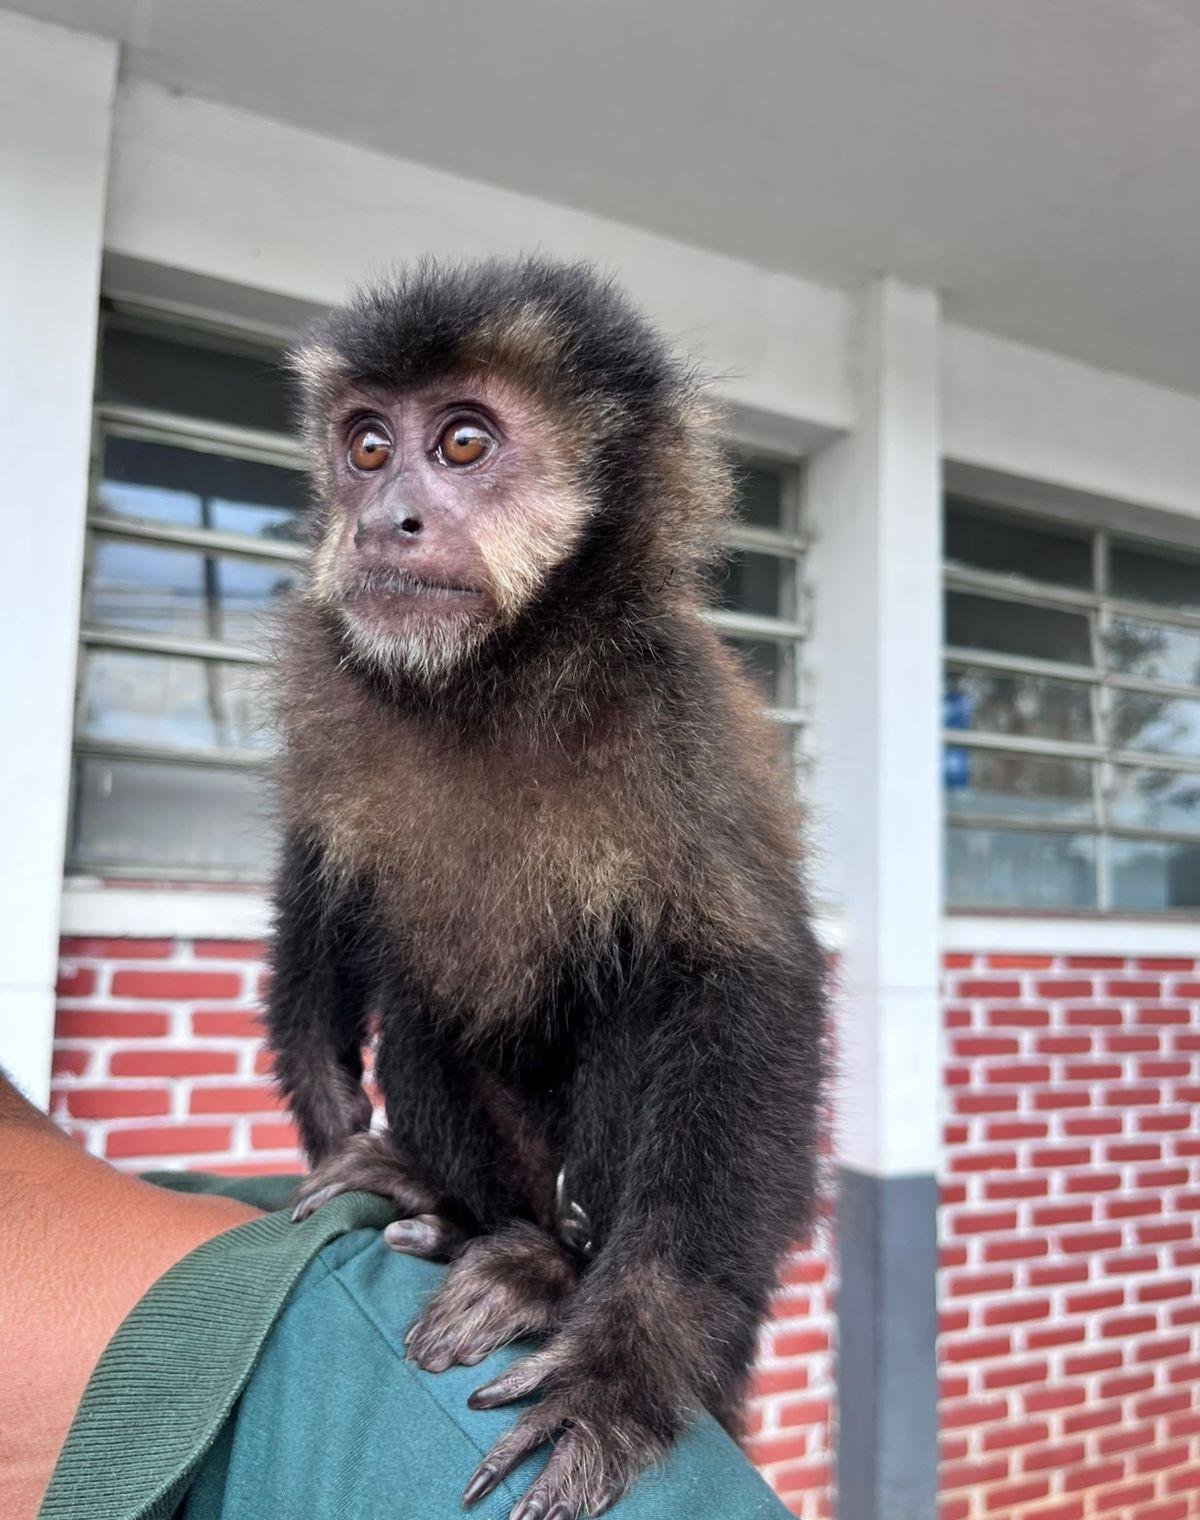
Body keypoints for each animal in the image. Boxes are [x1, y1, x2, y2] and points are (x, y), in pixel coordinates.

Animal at [264, 258, 826, 1520]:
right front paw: (336, 1124)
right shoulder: (335, 690)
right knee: (422, 1014)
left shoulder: (680, 715)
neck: (499, 677)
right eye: (366, 447)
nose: (382, 517)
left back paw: (550, 1270)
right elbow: (324, 883)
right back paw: (451, 1212)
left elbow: (744, 989)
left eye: (464, 442)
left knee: (644, 1004)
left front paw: (627, 1366)